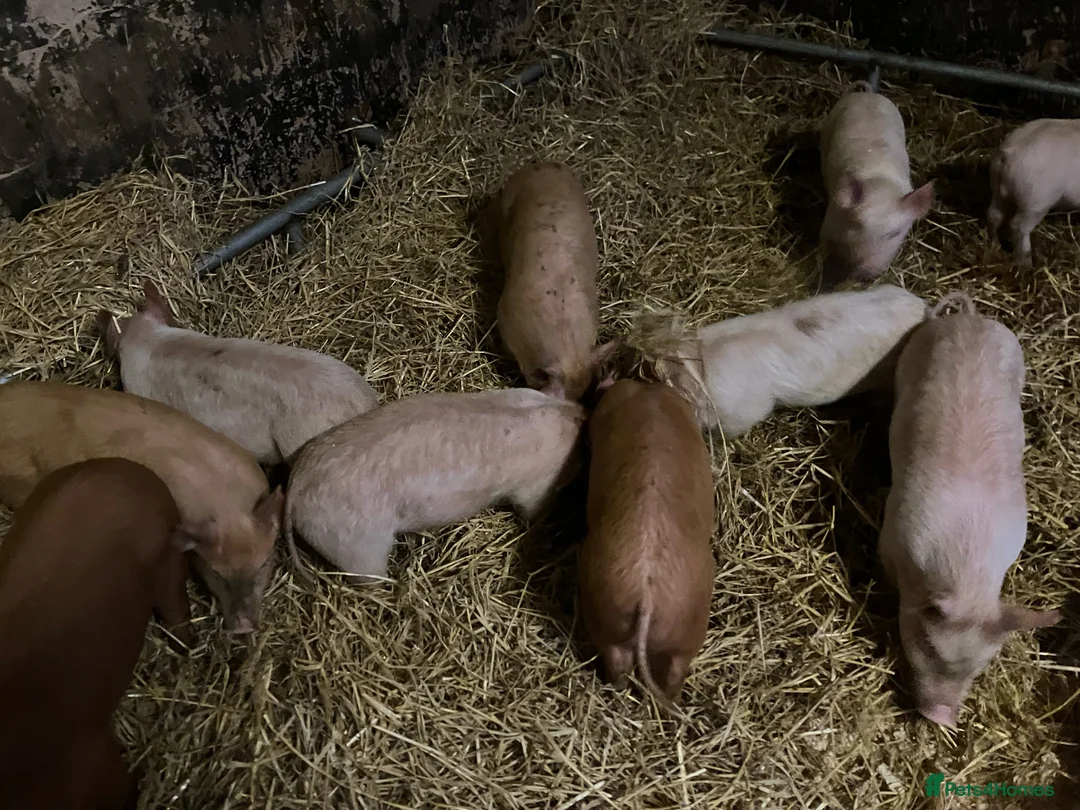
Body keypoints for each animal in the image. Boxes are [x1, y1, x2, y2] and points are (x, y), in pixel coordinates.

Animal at [578, 380, 715, 712]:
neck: (647, 390)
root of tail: (647, 595)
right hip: (686, 630)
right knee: (670, 675)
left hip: (608, 615)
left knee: (621, 671)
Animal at [819, 81, 935, 287]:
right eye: (857, 225)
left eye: (894, 234)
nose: (867, 269)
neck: (882, 185)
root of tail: (869, 94)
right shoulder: (831, 215)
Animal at [986, 118, 1080, 267]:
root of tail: (1009, 154)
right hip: (1035, 202)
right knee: (1017, 226)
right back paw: (1028, 264)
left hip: (998, 191)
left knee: (994, 215)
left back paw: (995, 246)